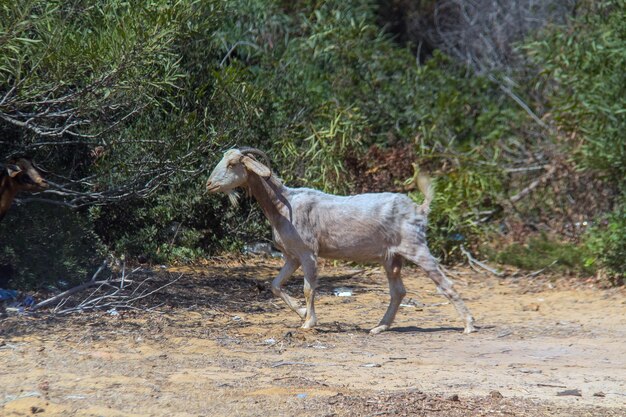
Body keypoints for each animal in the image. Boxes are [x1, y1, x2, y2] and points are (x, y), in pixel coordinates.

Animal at [205, 148, 472, 334]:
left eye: (233, 164)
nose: (209, 184)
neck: (283, 203)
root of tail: (419, 209)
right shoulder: (292, 255)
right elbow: (275, 285)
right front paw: (302, 312)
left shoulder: (308, 252)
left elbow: (308, 287)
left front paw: (309, 322)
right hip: (391, 257)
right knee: (398, 291)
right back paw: (379, 327)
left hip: (415, 247)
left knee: (444, 283)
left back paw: (469, 324)